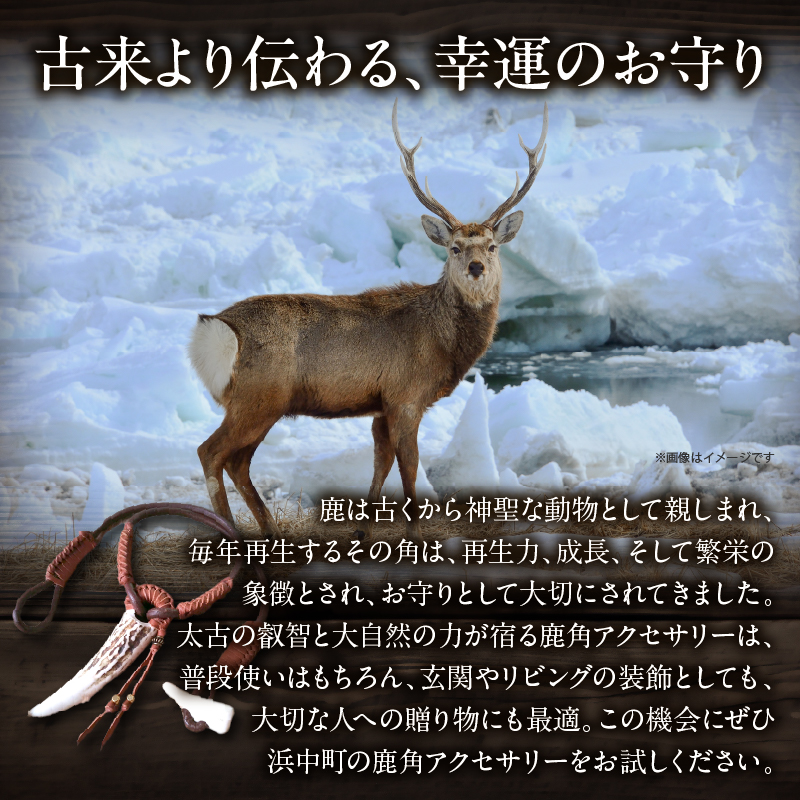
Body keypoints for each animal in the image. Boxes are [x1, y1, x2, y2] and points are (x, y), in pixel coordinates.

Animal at [188, 100, 548, 543]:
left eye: (493, 245)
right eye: (454, 247)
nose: (477, 267)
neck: (445, 346)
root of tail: (214, 329)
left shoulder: (380, 404)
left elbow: (380, 465)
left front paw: (362, 530)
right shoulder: (406, 395)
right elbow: (409, 468)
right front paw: (413, 533)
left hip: (263, 403)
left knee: (237, 462)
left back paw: (269, 529)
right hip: (258, 396)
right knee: (211, 452)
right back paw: (232, 533)